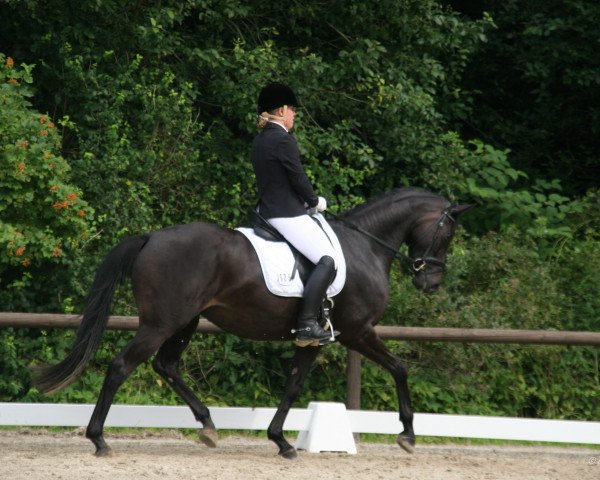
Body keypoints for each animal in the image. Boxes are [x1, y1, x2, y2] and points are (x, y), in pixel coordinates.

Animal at [34, 187, 474, 458]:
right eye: (448, 232)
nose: (431, 282)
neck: (365, 246)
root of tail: (151, 237)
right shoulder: (357, 331)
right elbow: (400, 369)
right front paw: (408, 435)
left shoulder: (313, 338)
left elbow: (293, 386)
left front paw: (281, 441)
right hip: (161, 322)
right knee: (122, 366)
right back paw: (99, 439)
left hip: (185, 321)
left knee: (166, 365)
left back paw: (208, 425)